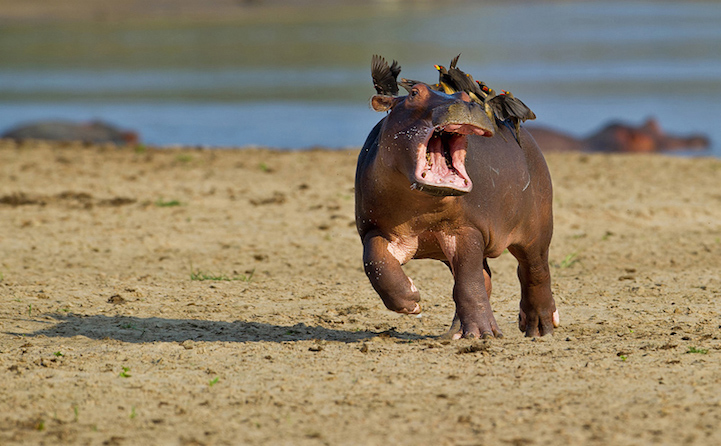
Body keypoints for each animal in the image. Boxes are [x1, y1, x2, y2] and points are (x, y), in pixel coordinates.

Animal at [354, 82, 556, 336]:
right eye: (414, 93)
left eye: (464, 96)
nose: (463, 104)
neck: (420, 207)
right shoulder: (375, 228)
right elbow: (376, 262)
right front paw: (411, 301)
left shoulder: (466, 228)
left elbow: (469, 281)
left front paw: (483, 334)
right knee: (484, 279)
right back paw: (456, 333)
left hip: (537, 230)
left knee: (534, 272)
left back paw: (540, 328)